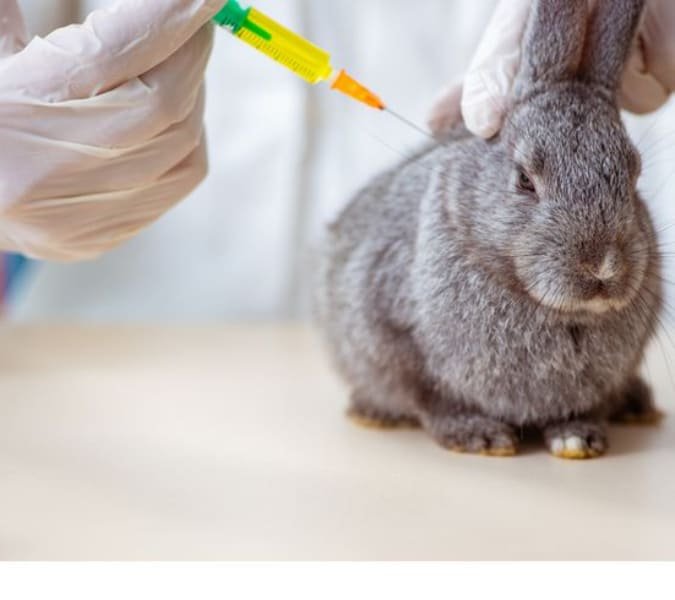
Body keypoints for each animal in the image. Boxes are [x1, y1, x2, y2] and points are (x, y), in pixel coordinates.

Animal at [315, 0, 664, 459]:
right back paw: (370, 413)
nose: (603, 267)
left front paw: (578, 438)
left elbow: (583, 407)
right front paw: (479, 436)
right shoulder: (389, 328)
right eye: (525, 180)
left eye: (634, 175)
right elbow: (429, 396)